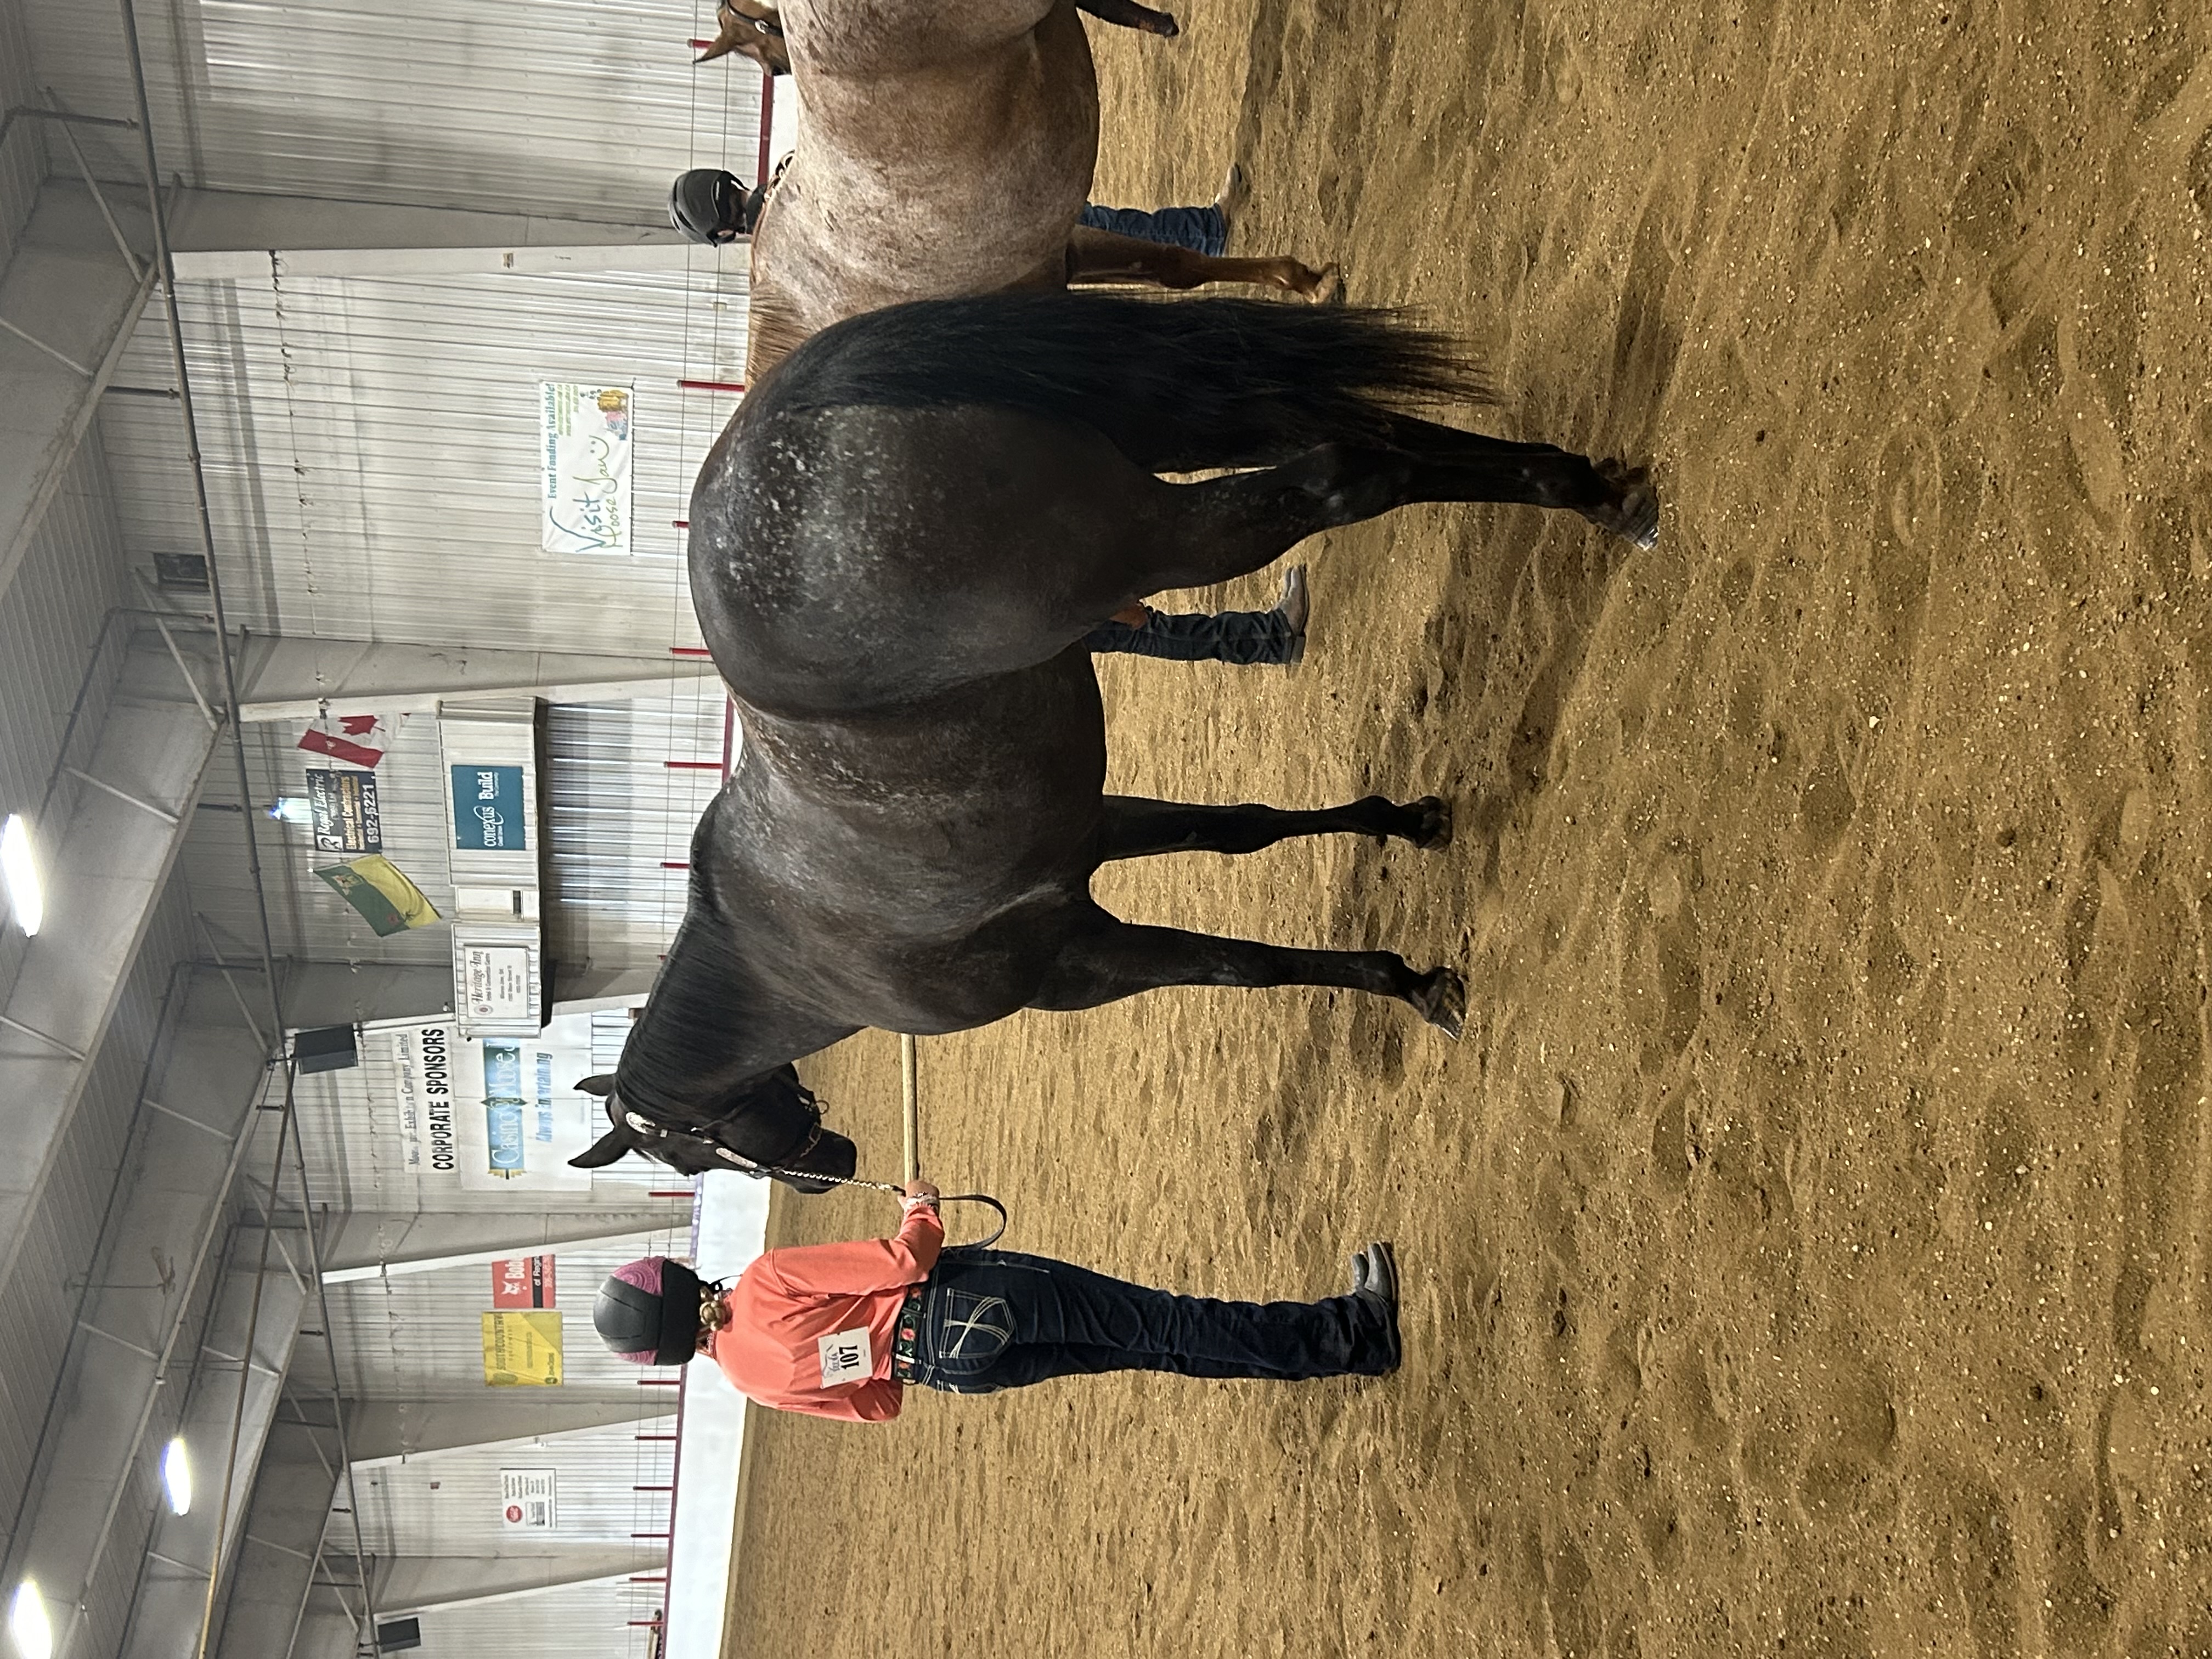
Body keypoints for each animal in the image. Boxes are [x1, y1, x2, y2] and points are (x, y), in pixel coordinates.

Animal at [570, 292, 1661, 1190]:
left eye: (699, 1149)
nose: (833, 1165)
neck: (789, 948)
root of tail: (785, 413)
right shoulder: (1092, 835)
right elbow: (1238, 829)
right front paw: (1406, 823)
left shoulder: (1080, 963)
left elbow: (1241, 968)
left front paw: (1411, 982)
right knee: (1362, 437)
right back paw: (1589, 484)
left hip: (1166, 533)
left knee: (1347, 473)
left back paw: (1591, 498)